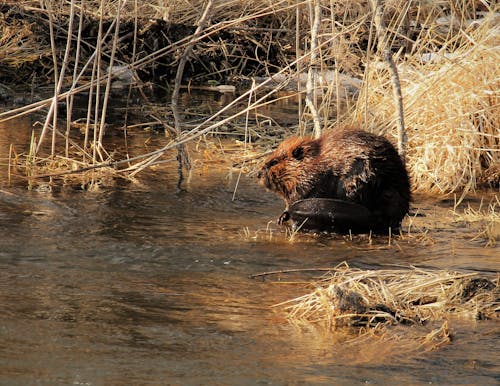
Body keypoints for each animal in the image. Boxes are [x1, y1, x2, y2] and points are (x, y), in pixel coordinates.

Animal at [258, 129, 410, 232]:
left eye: (274, 162)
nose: (258, 174)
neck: (315, 163)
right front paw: (281, 218)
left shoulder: (313, 183)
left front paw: (284, 215)